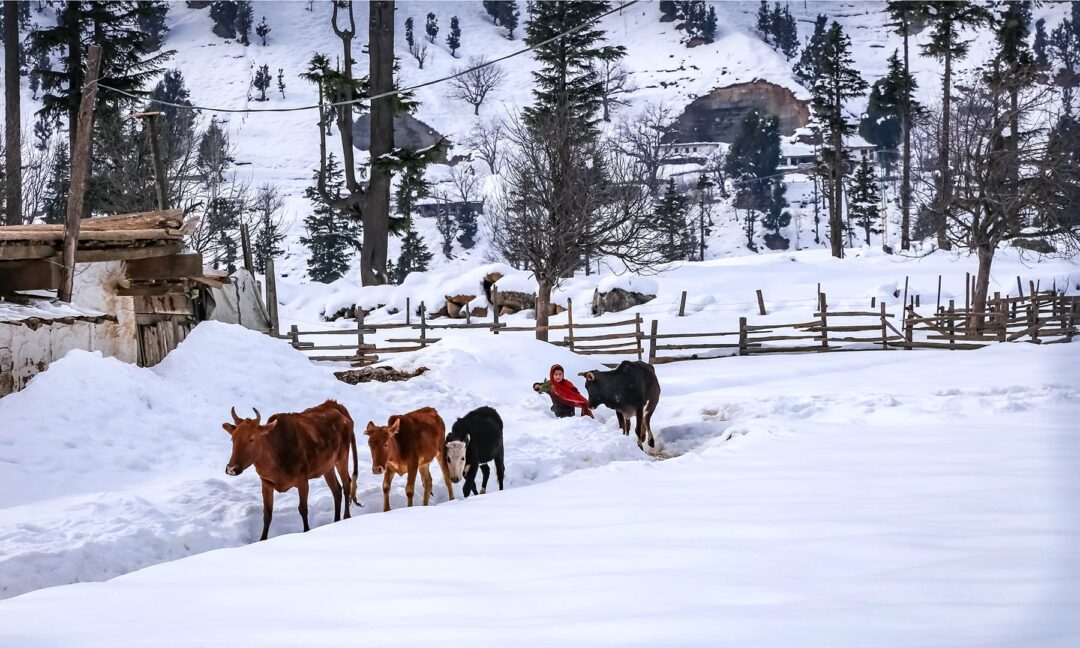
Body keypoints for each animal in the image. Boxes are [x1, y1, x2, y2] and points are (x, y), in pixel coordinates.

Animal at [221, 399, 360, 542]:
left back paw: (346, 517)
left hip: (342, 457)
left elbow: (303, 509)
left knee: (346, 484)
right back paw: (336, 520)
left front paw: (306, 531)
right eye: (233, 438)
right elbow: (267, 514)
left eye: (251, 438)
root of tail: (337, 406)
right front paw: (262, 539)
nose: (231, 468)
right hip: (328, 467)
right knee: (336, 490)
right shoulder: (266, 483)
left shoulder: (302, 480)